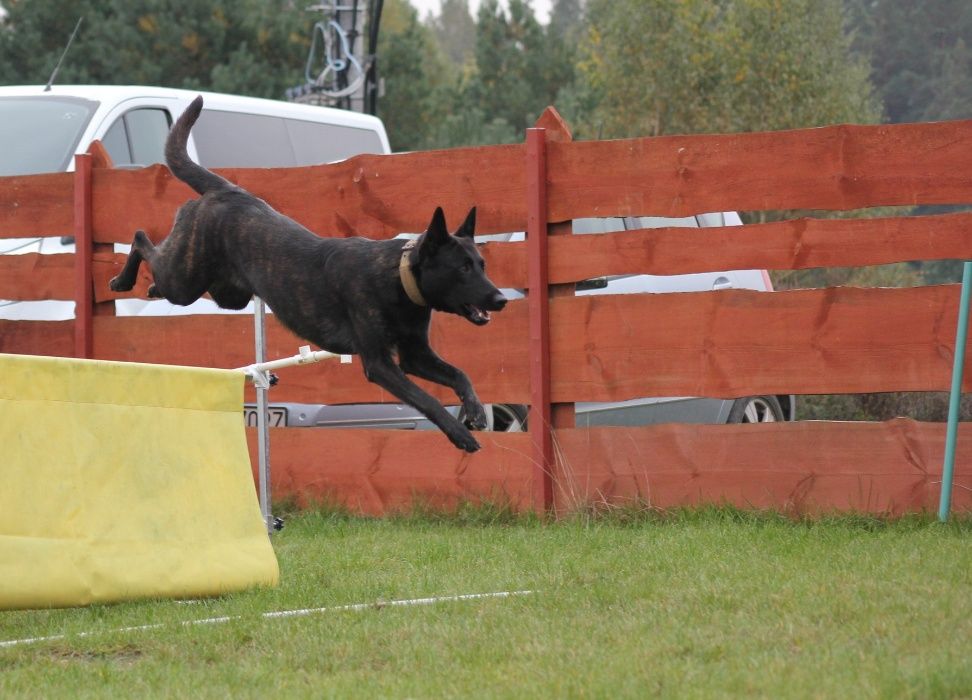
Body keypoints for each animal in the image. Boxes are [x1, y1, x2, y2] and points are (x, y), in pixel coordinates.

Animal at [111, 95, 508, 452]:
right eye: (462, 268)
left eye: (482, 265)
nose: (501, 299)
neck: (399, 281)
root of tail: (228, 189)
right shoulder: (380, 363)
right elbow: (426, 399)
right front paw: (460, 435)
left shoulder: (415, 355)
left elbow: (459, 374)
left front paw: (474, 410)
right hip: (186, 281)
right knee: (142, 238)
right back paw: (123, 280)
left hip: (226, 294)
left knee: (164, 268)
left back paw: (148, 289)